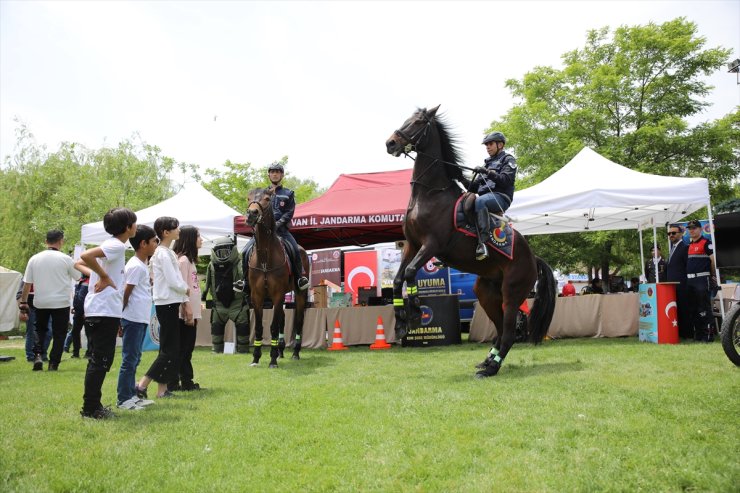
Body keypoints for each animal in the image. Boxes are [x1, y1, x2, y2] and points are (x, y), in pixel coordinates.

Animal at [246, 186, 310, 368]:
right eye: (248, 198)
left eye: (267, 199)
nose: (252, 213)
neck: (265, 257)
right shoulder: (257, 297)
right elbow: (259, 327)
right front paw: (256, 358)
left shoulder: (277, 295)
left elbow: (273, 326)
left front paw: (272, 359)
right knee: (283, 320)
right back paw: (281, 350)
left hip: (300, 293)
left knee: (299, 321)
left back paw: (295, 353)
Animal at [388, 104, 556, 376]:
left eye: (418, 122)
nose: (390, 143)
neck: (430, 194)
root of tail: (533, 258)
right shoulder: (412, 245)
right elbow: (397, 279)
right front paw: (402, 323)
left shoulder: (432, 245)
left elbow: (412, 272)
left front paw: (414, 311)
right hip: (486, 293)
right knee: (499, 330)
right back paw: (487, 362)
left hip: (512, 293)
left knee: (509, 333)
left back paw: (491, 369)